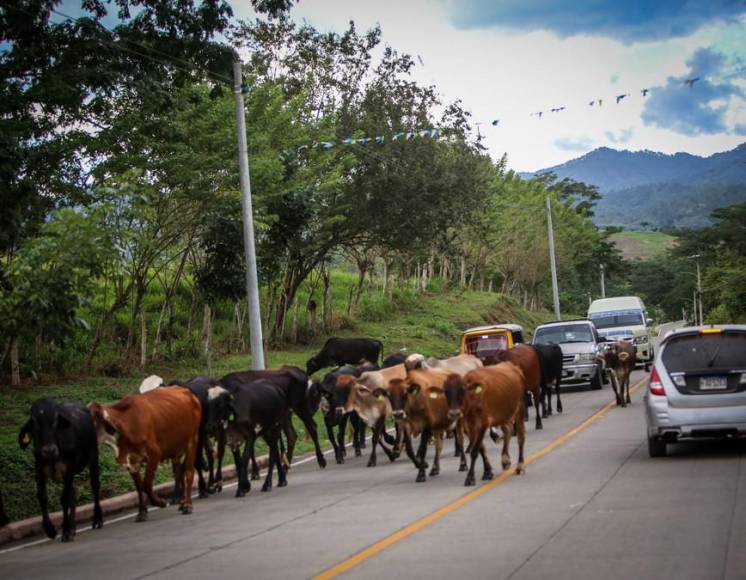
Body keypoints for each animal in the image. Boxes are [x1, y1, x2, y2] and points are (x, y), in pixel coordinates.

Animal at [18, 402, 103, 540]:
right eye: (35, 422)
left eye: (55, 421)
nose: (49, 450)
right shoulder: (39, 470)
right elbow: (42, 497)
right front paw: (50, 529)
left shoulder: (69, 468)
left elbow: (64, 498)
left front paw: (66, 530)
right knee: (73, 492)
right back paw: (73, 527)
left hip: (93, 457)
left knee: (95, 486)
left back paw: (97, 519)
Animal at [88, 388, 201, 520]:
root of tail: (187, 391)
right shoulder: (132, 462)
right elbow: (139, 487)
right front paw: (142, 512)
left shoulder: (154, 454)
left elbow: (146, 484)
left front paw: (160, 502)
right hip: (176, 449)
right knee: (179, 472)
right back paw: (182, 503)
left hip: (192, 441)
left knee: (189, 472)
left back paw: (188, 505)